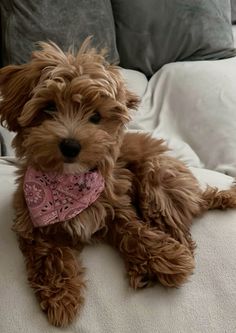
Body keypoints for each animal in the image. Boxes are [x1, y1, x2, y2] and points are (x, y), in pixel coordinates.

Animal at [0, 40, 236, 326]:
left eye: (95, 117)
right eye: (49, 108)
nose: (70, 145)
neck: (67, 183)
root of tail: (197, 193)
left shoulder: (116, 202)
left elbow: (137, 233)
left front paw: (169, 259)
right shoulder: (34, 224)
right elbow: (49, 258)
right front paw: (62, 299)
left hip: (155, 180)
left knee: (179, 233)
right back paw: (141, 272)